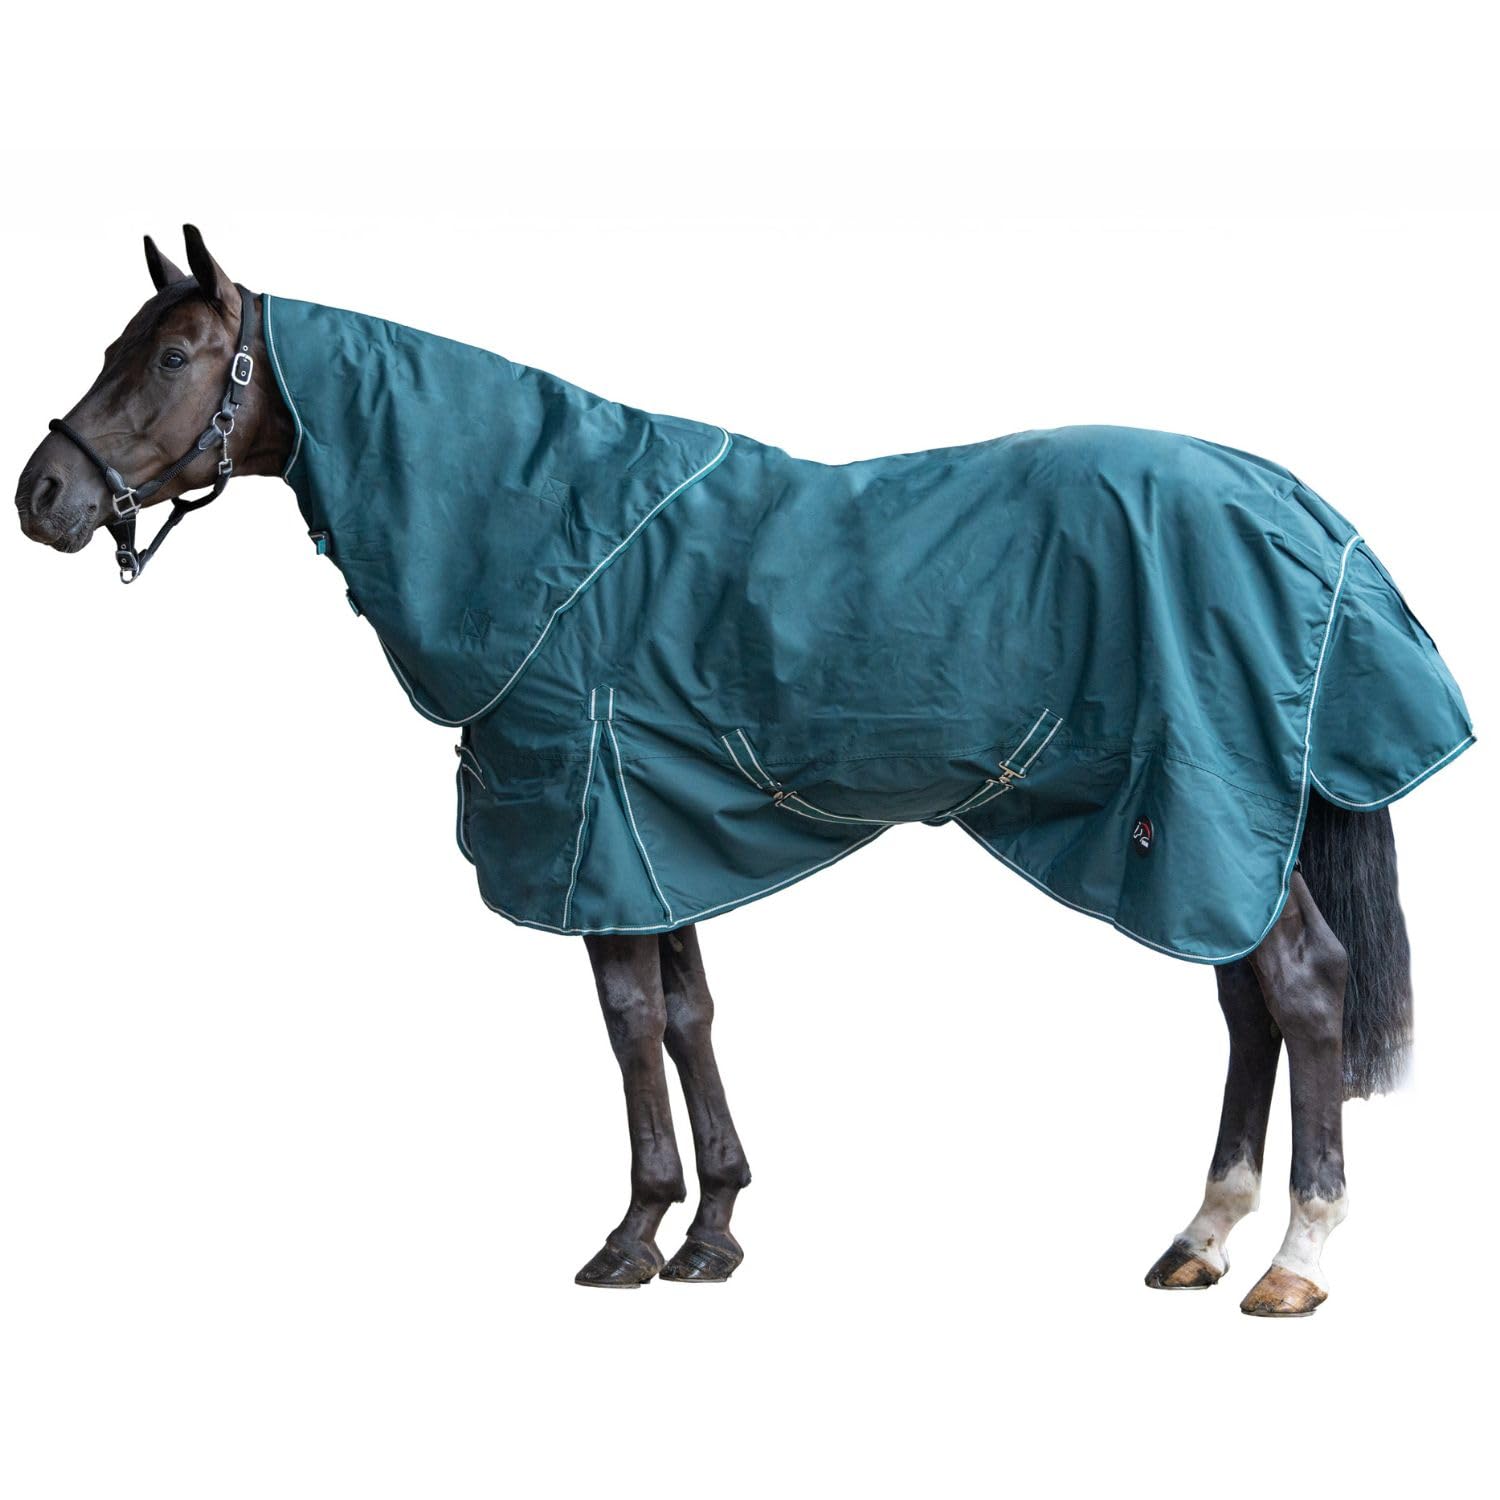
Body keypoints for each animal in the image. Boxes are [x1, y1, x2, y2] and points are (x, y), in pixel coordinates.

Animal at [14, 227, 1474, 1315]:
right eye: (115, 347)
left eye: (177, 356)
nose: (42, 497)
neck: (550, 535)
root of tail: (1295, 507)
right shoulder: (655, 838)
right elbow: (691, 1014)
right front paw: (714, 1228)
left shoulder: (591, 827)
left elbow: (631, 1025)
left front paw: (634, 1236)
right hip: (1198, 839)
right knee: (1246, 1010)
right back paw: (1200, 1238)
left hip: (1208, 818)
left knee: (1305, 989)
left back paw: (1295, 1259)